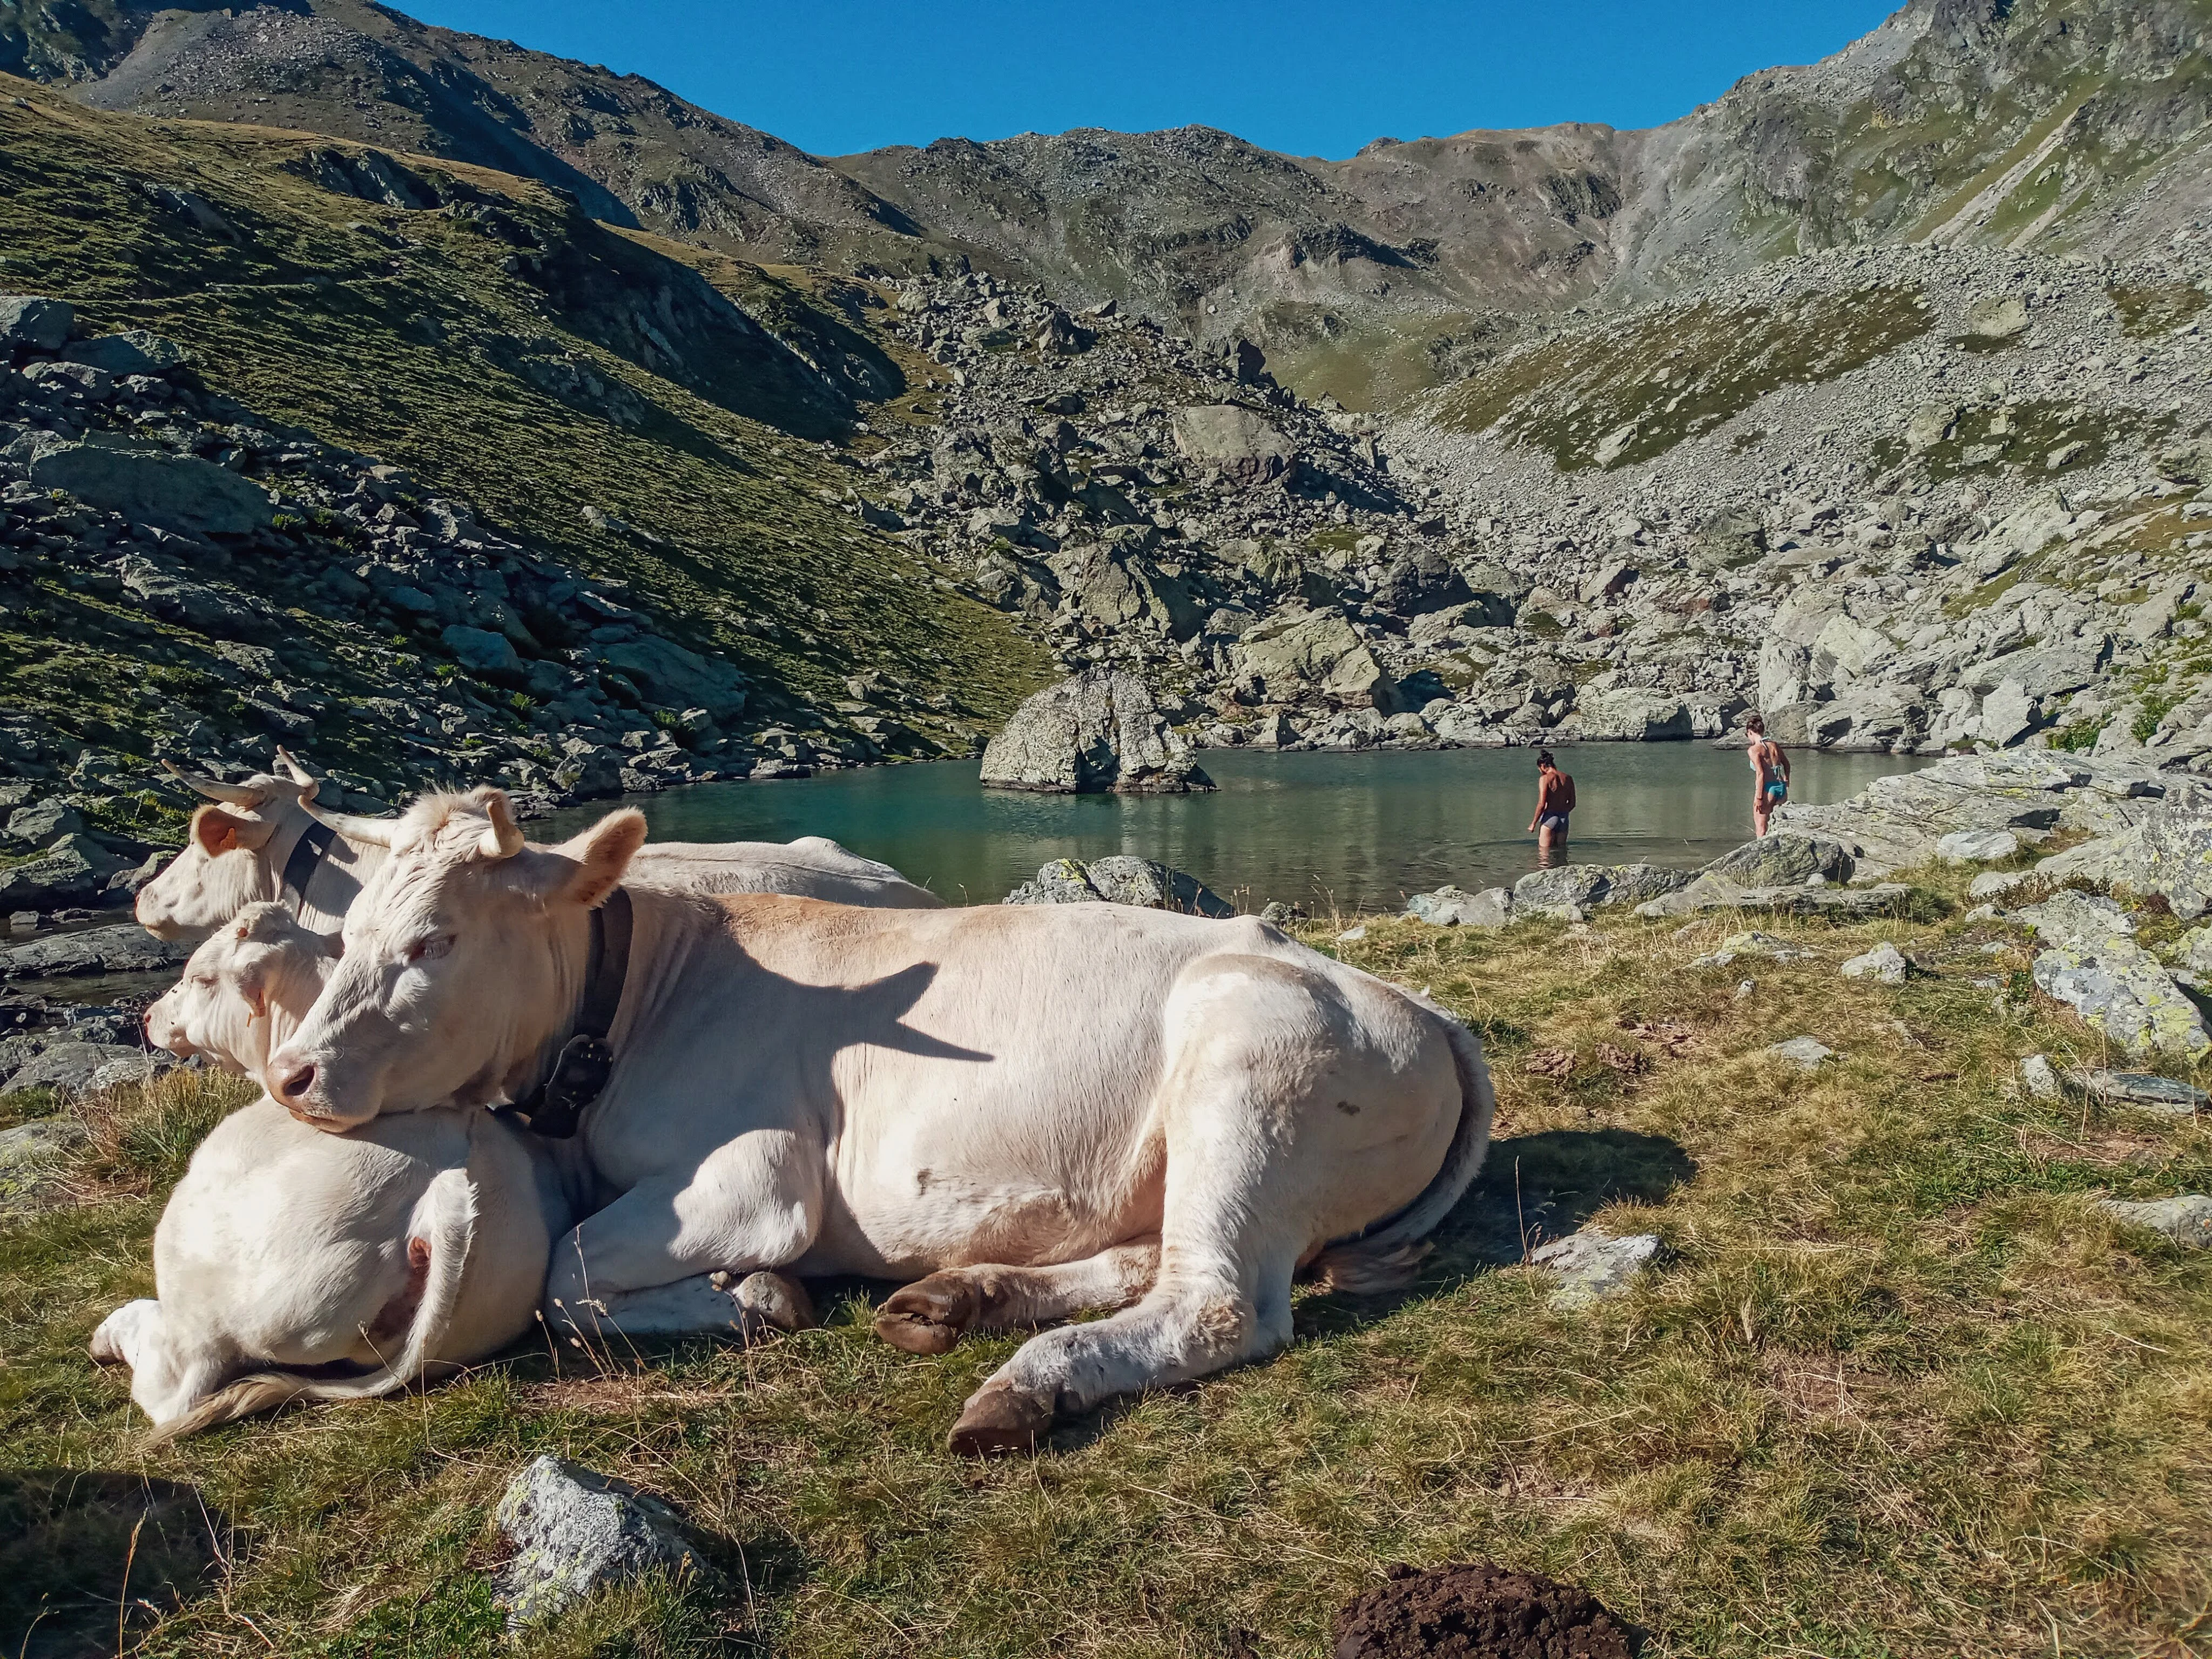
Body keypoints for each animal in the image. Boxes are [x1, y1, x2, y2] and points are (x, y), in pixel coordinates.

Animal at [104, 792, 1495, 1451]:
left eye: (434, 938)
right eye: (339, 935)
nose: (296, 1077)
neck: (642, 1003)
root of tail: (1419, 1004)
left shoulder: (756, 1176)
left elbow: (564, 1277)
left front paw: (760, 1296)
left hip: (1239, 1070)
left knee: (1212, 1302)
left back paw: (1023, 1384)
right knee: (1141, 1260)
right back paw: (959, 1297)